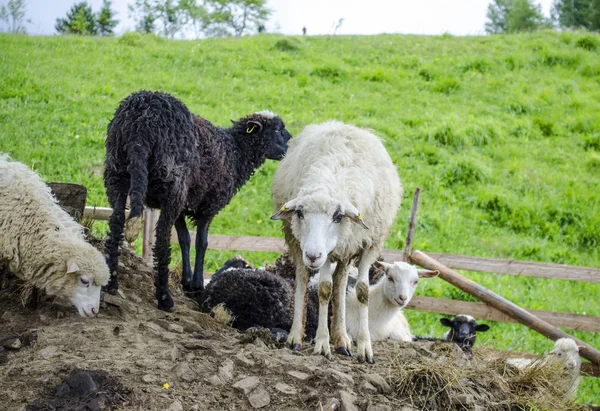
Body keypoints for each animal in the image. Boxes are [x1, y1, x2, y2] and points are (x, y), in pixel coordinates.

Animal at [103, 89, 292, 308]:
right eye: (278, 130)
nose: (292, 145)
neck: (235, 152)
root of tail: (140, 124)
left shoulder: (183, 205)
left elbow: (184, 239)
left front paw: (186, 281)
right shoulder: (209, 206)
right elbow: (202, 242)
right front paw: (196, 284)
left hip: (117, 173)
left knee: (116, 225)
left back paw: (111, 283)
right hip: (172, 182)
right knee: (162, 238)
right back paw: (165, 297)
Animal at [272, 120, 404, 364]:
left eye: (338, 216)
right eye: (300, 213)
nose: (312, 255)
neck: (330, 179)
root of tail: (339, 124)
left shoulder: (369, 245)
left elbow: (361, 292)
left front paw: (364, 346)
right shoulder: (325, 253)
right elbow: (324, 290)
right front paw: (323, 344)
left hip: (345, 250)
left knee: (341, 283)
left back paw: (342, 339)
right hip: (297, 241)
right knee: (303, 279)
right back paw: (296, 336)